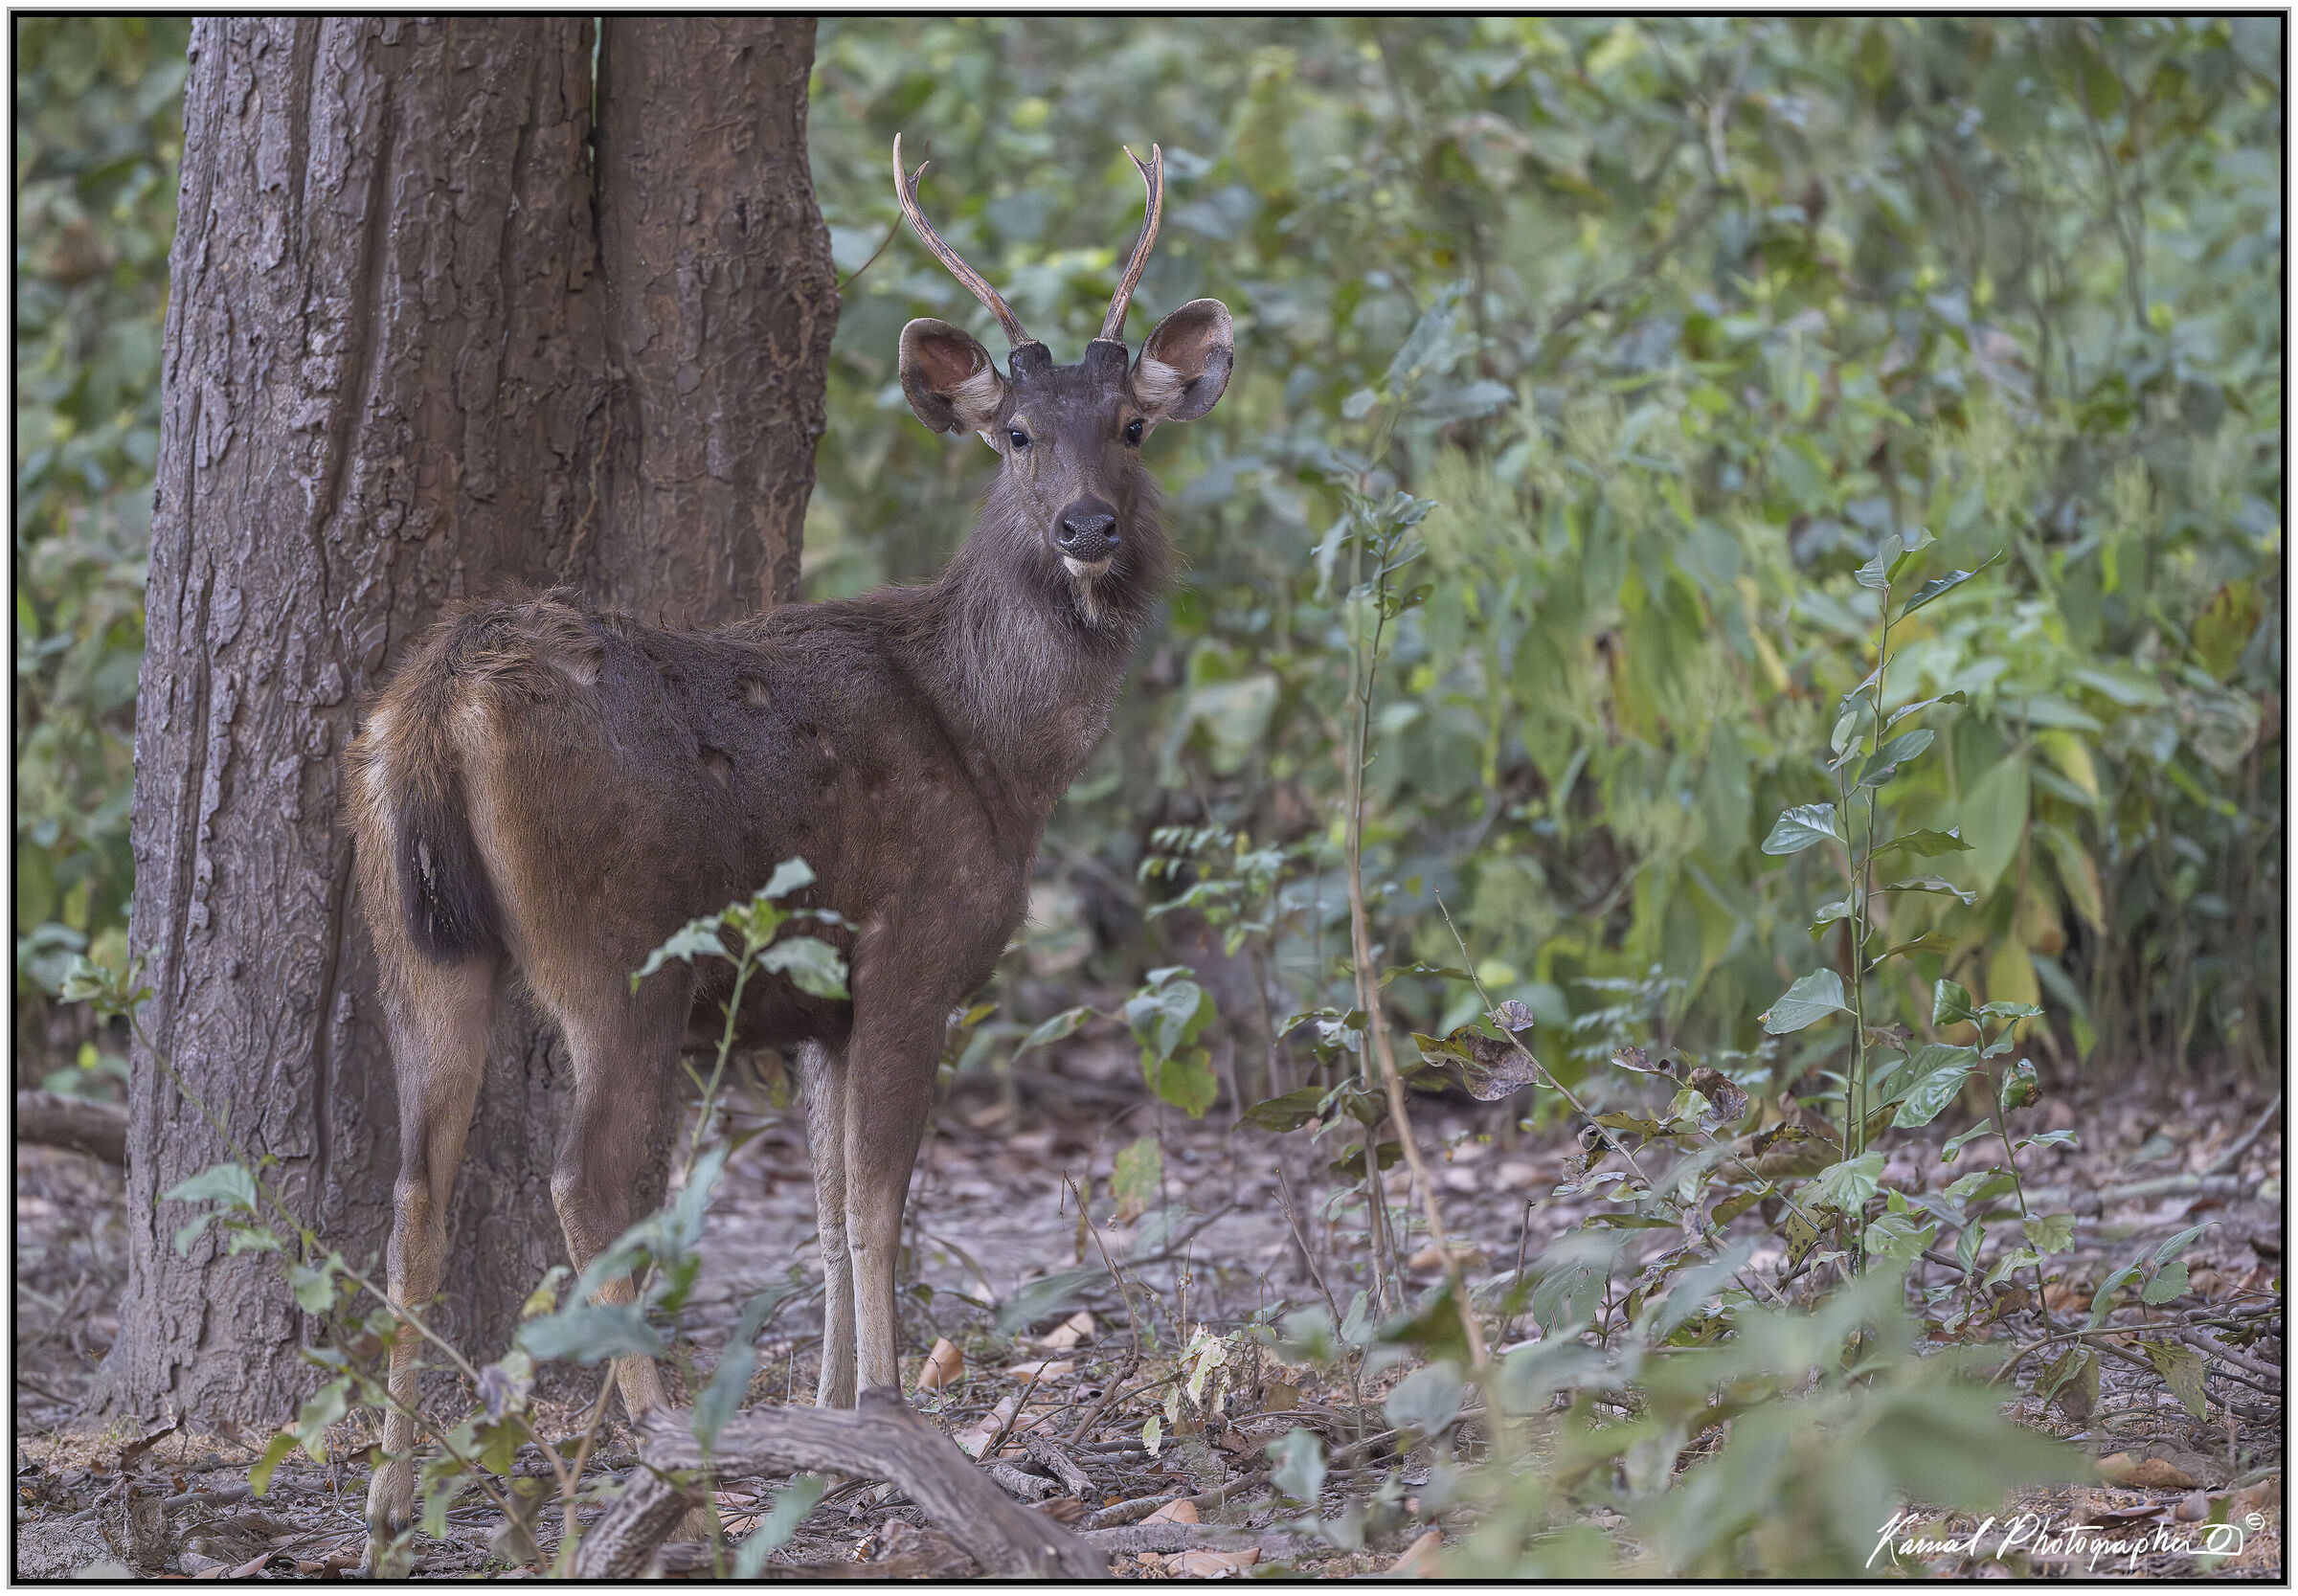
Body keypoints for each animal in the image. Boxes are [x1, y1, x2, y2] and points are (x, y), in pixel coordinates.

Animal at [347, 137, 1230, 1559]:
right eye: (1017, 435)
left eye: (1133, 426)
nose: (1088, 527)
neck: (997, 748)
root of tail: (438, 695)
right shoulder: (916, 946)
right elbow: (877, 1200)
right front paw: (889, 1414)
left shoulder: (817, 999)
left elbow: (820, 1208)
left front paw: (827, 1414)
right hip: (621, 953)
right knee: (589, 1184)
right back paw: (667, 1462)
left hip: (416, 937)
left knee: (413, 1190)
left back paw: (387, 1502)